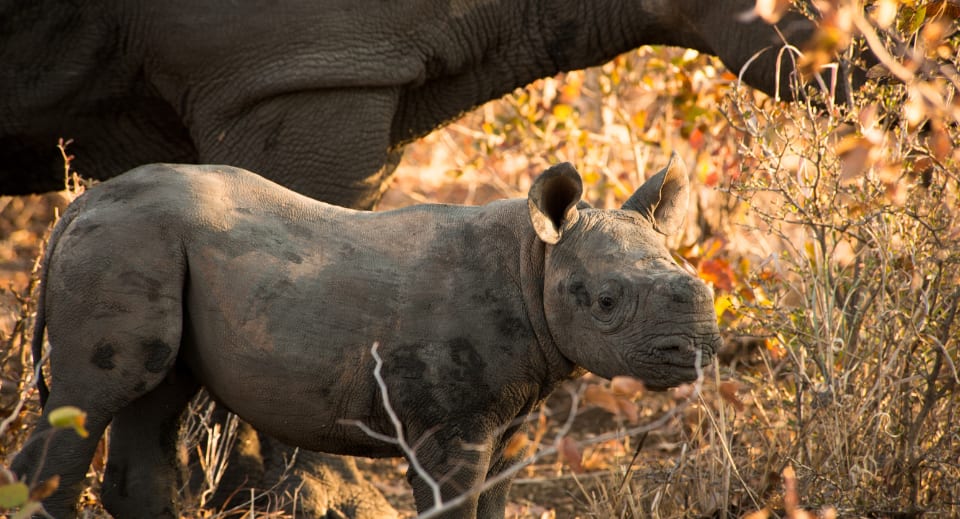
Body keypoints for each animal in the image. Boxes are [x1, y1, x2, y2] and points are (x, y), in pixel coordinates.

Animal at [11, 155, 720, 518]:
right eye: (606, 302)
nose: (700, 349)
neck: (533, 260)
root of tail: (77, 205)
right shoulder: (450, 426)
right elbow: (453, 503)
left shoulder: (513, 419)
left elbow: (495, 500)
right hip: (126, 239)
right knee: (95, 397)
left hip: (147, 241)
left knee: (153, 397)